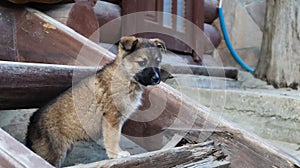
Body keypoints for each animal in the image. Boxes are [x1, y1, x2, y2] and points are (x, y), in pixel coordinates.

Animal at [25, 35, 166, 167]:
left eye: (157, 62)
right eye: (142, 63)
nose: (156, 79)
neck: (126, 77)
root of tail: (32, 123)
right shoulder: (112, 118)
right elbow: (113, 138)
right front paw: (116, 154)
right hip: (53, 153)